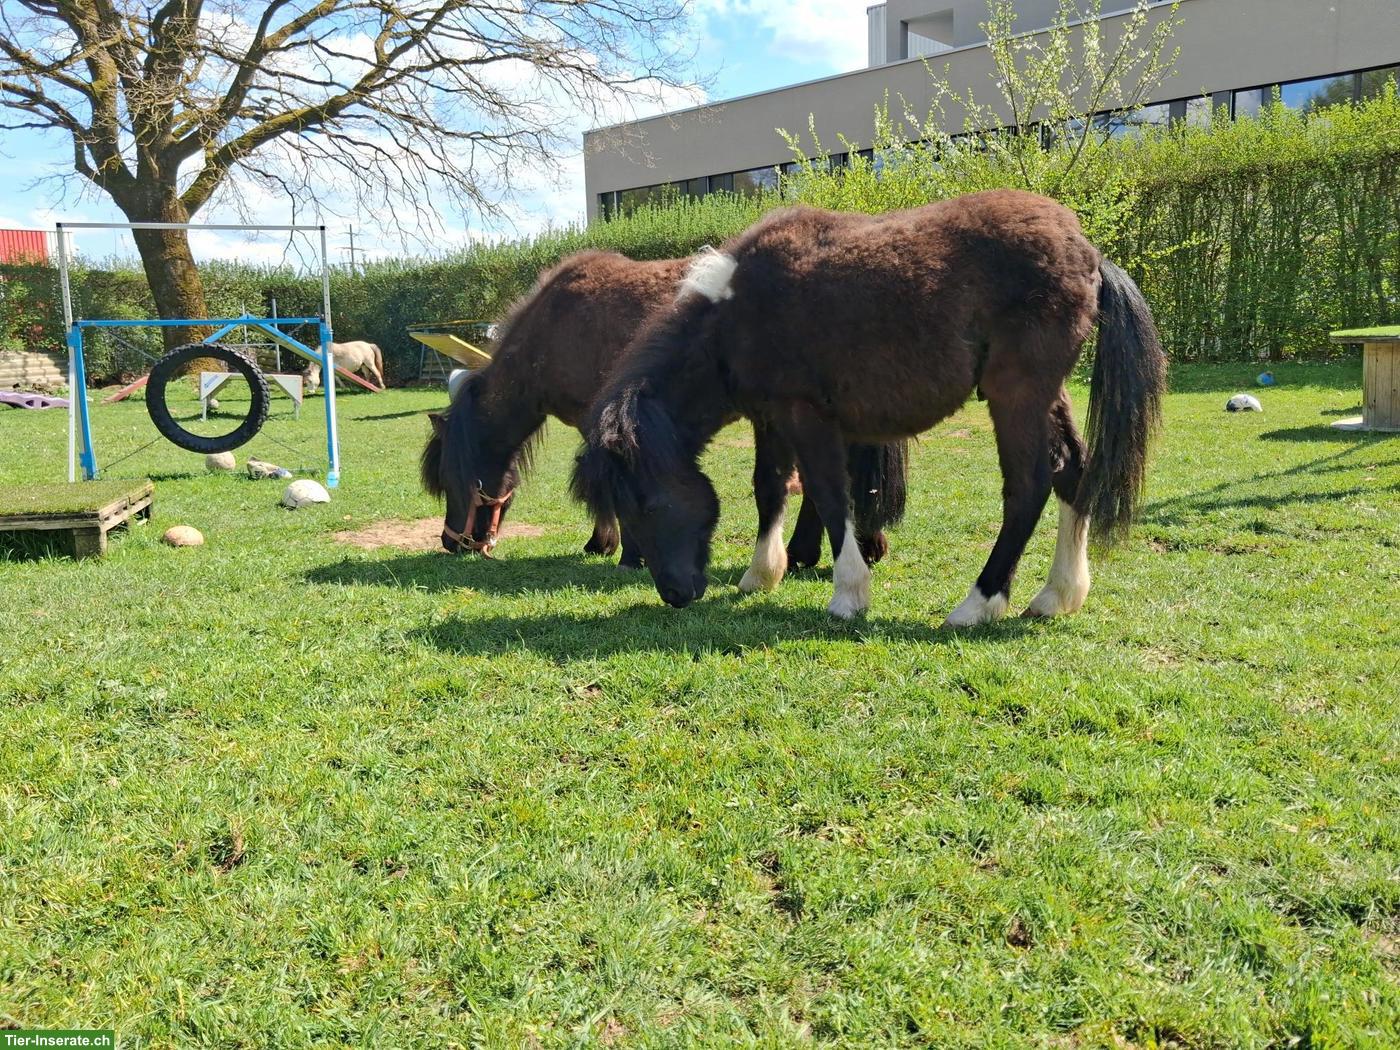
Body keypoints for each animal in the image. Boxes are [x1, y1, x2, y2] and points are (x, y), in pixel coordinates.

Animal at [573, 190, 1166, 625]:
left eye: (649, 503)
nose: (675, 593)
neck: (735, 311)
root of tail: (1088, 253)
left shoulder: (806, 416)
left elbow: (831, 496)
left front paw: (848, 595)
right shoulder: (770, 418)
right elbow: (769, 488)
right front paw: (761, 574)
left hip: (1015, 394)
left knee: (1028, 487)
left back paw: (979, 603)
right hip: (1047, 394)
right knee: (1072, 472)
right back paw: (1056, 596)